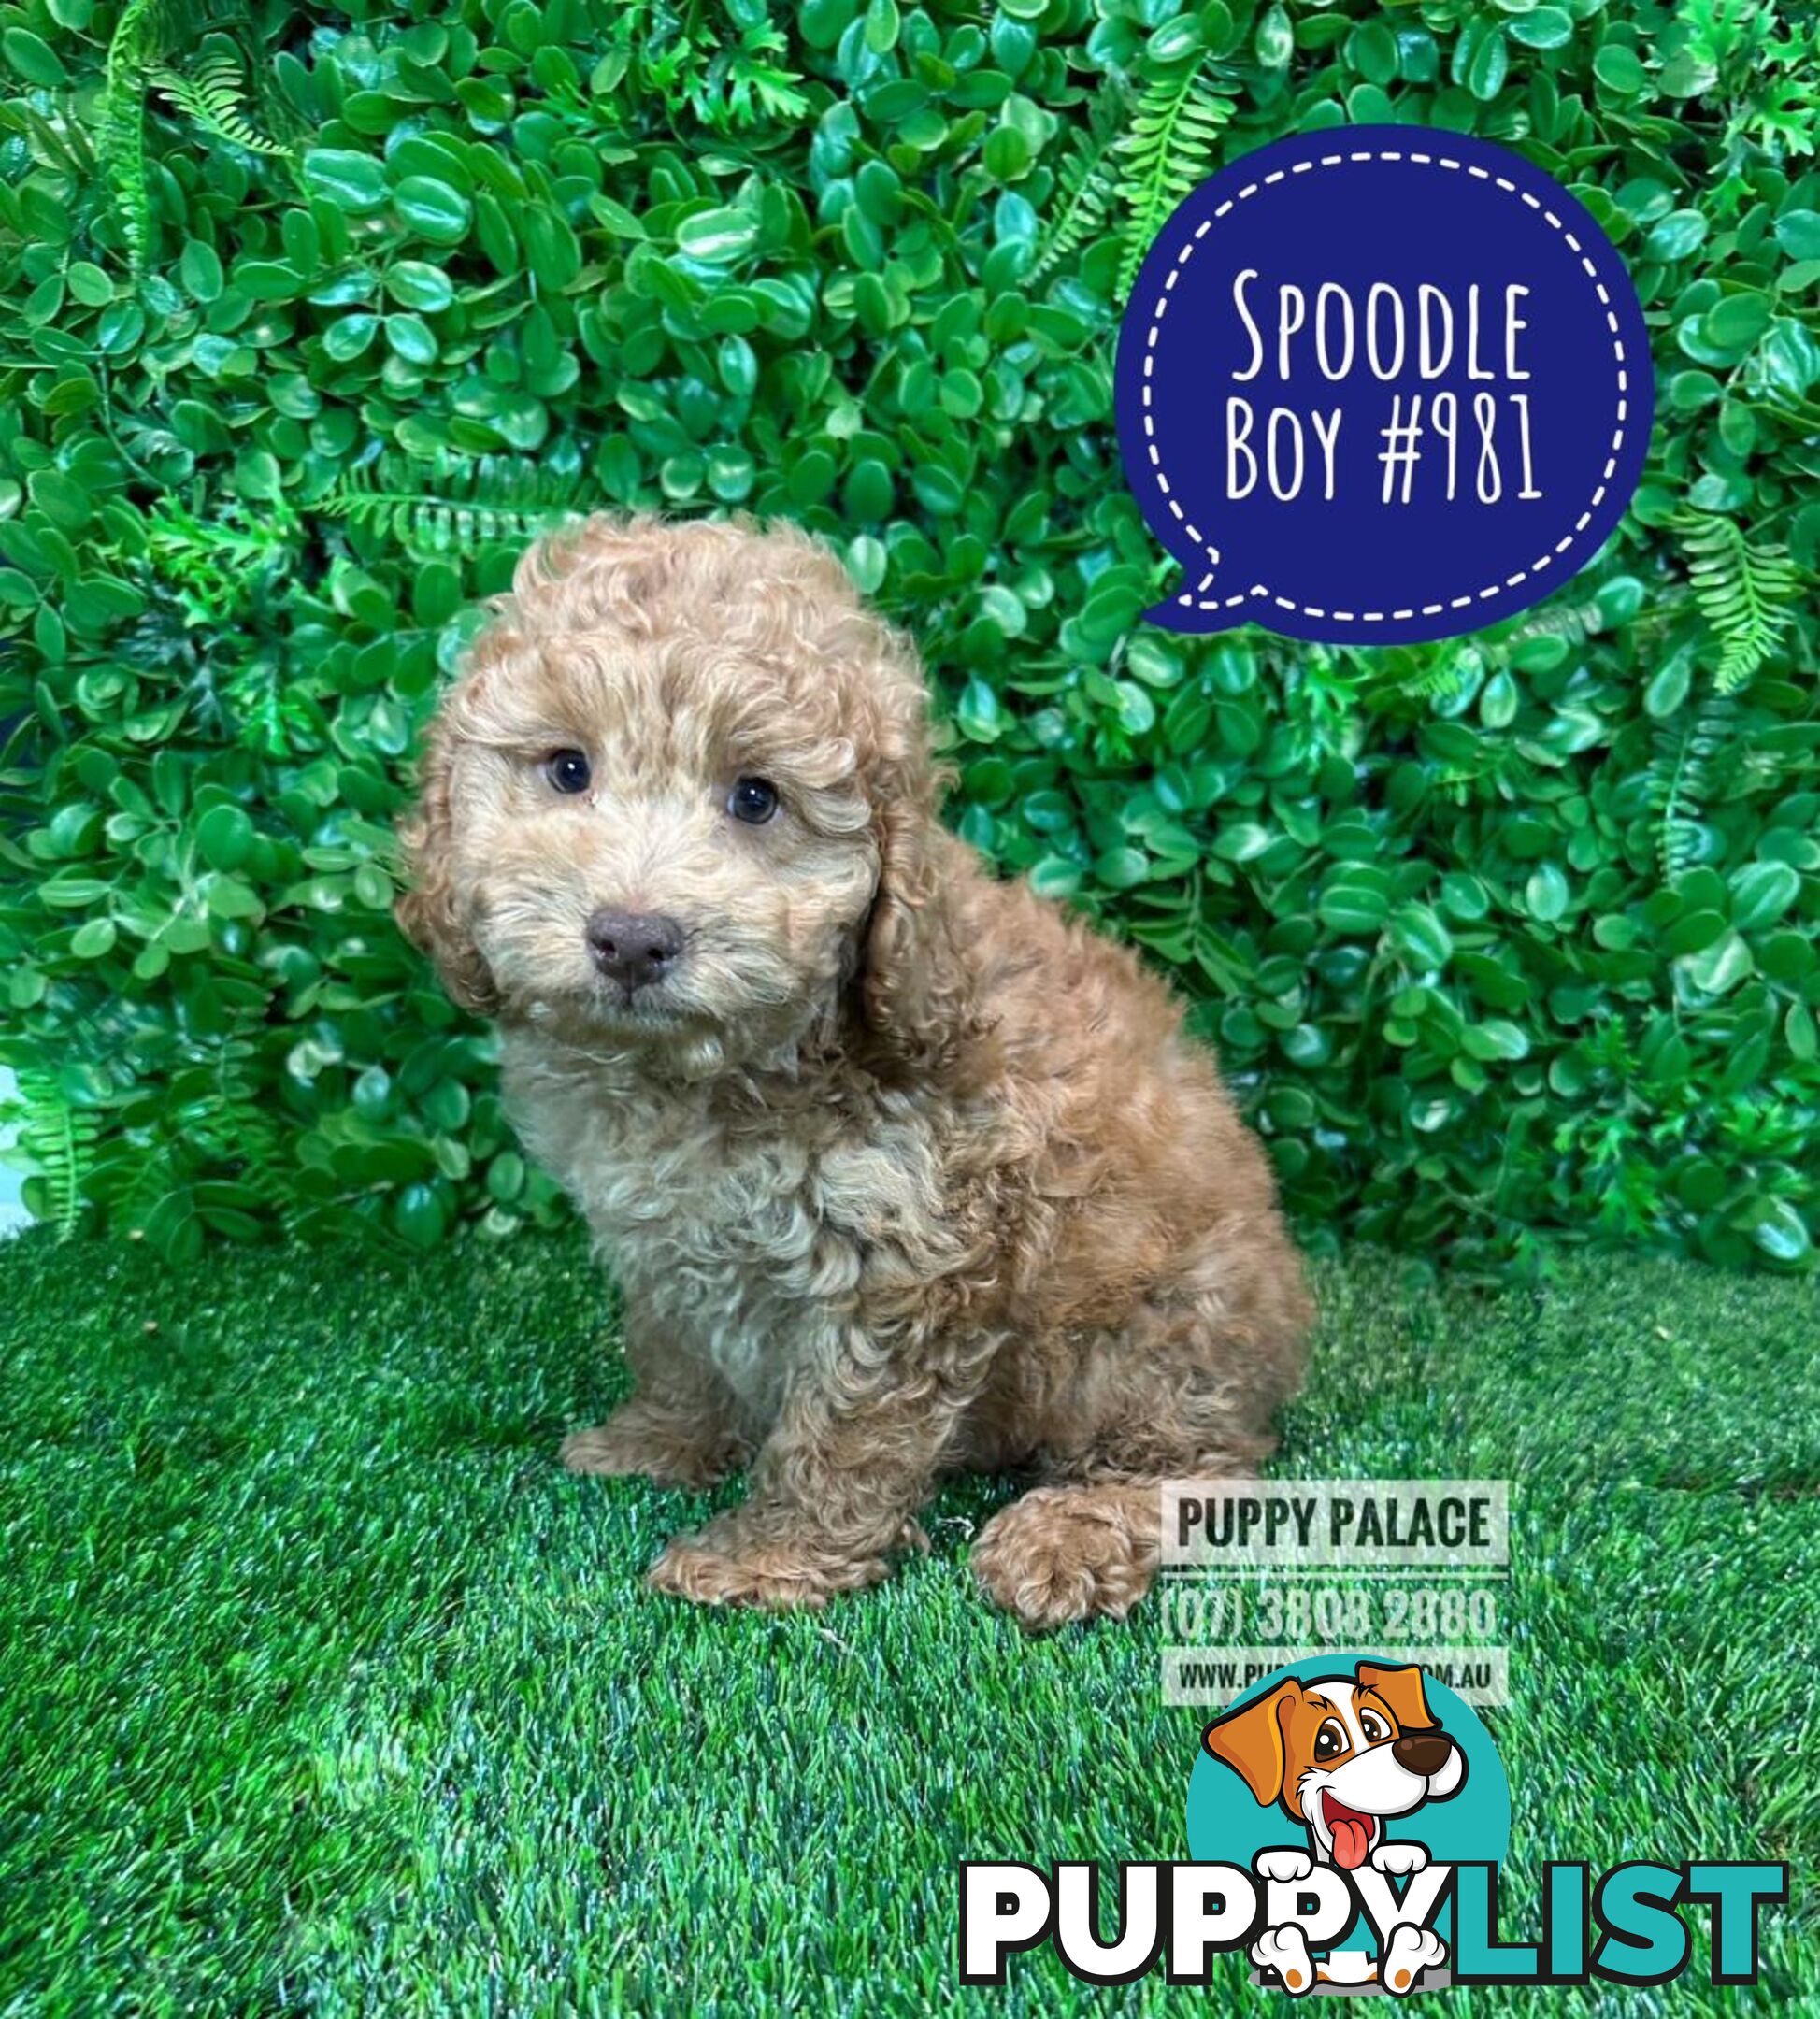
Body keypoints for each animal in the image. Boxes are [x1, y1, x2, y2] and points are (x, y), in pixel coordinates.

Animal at [397, 512, 1309, 1631]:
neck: (711, 1070)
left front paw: (771, 1557)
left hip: (1158, 1336)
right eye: (568, 770)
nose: (631, 939)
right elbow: (676, 1347)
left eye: (757, 799)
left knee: (1203, 1469)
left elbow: (844, 1426)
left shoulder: (911, 1251)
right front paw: (660, 1442)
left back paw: (1069, 1533)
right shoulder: (662, 1242)